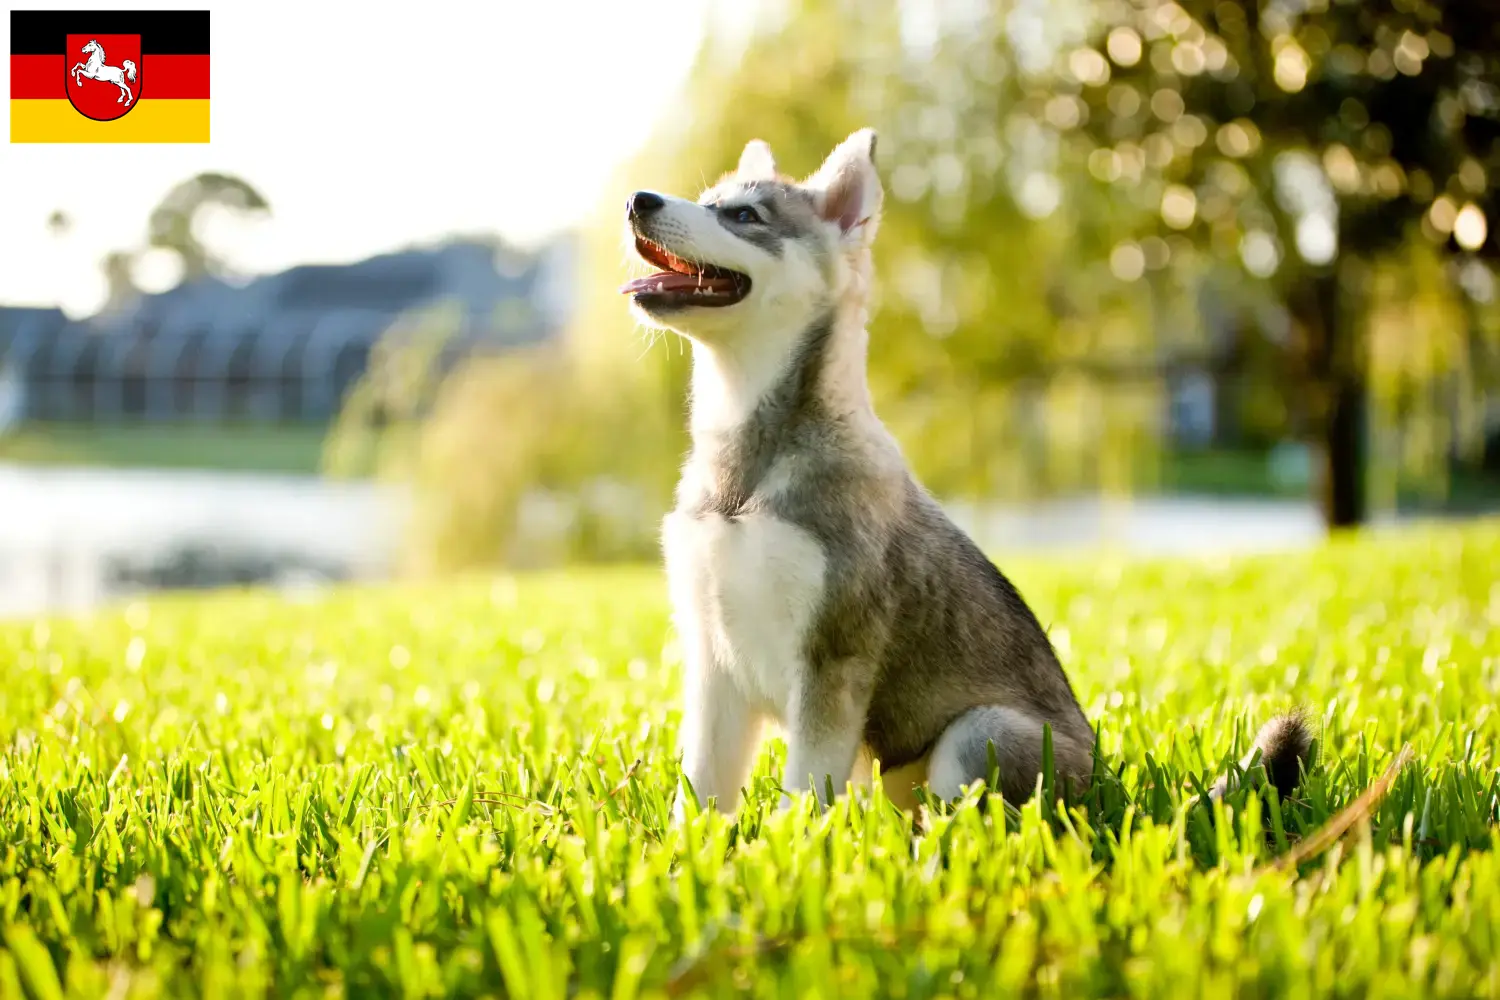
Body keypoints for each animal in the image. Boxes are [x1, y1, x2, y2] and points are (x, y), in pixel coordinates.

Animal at [615, 128, 1308, 815]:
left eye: (743, 215)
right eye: (711, 200)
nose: (638, 199)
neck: (746, 469)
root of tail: (1114, 795)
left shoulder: (831, 662)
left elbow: (805, 796)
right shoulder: (713, 663)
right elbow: (699, 795)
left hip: (981, 733)